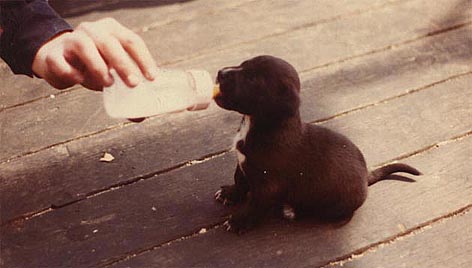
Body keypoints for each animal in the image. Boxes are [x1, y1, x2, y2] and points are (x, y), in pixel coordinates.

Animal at [214, 55, 420, 233]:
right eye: (243, 64)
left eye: (252, 79)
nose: (220, 72)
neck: (256, 125)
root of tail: (366, 176)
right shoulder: (242, 163)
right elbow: (239, 180)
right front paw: (230, 194)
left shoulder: (268, 186)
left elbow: (255, 206)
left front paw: (240, 221)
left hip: (335, 204)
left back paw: (292, 210)